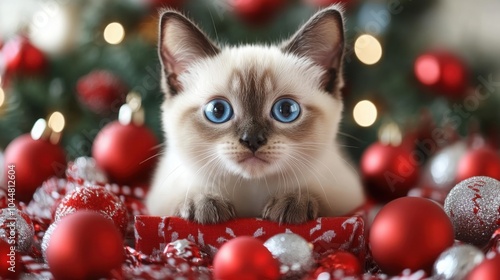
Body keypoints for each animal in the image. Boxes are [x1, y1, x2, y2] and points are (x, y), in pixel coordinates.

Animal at [146, 5, 366, 224]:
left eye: (286, 110)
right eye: (218, 111)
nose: (252, 140)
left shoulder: (346, 196)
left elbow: (320, 197)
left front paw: (294, 201)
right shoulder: (160, 198)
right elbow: (188, 194)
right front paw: (203, 202)